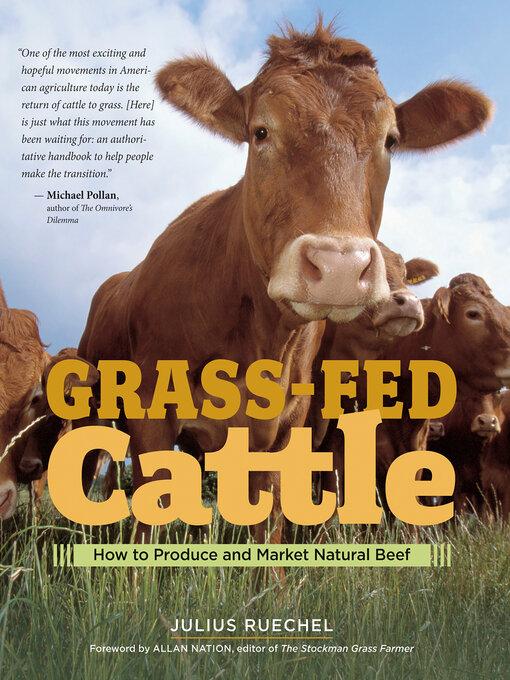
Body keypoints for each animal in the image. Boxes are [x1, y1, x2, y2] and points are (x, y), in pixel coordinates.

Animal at [76, 19, 492, 545]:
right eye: (261, 132)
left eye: (391, 140)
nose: (339, 266)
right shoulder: (151, 411)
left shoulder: (290, 425)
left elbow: (269, 522)